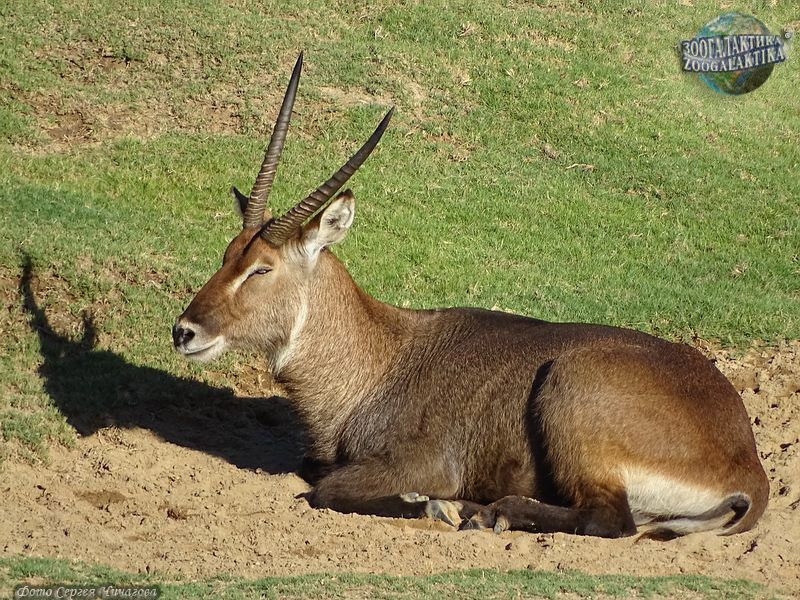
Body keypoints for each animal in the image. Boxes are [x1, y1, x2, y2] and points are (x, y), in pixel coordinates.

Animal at [173, 54, 768, 539]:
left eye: (261, 268)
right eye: (228, 253)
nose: (185, 331)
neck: (379, 359)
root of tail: (749, 465)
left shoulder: (426, 463)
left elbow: (326, 490)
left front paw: (432, 506)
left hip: (570, 391)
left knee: (610, 519)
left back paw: (489, 512)